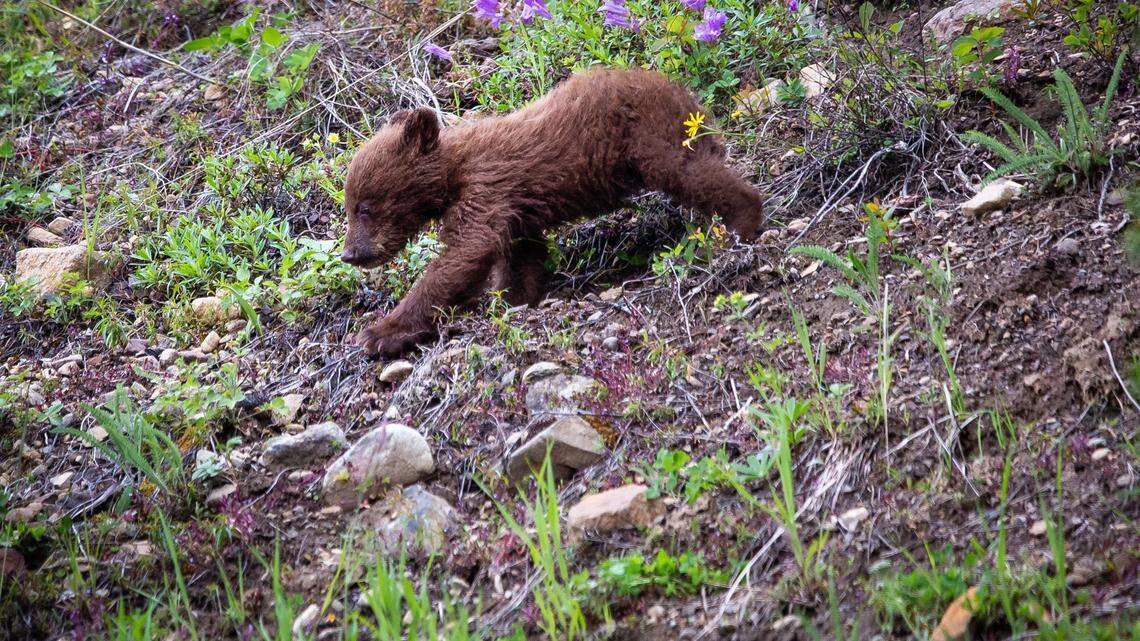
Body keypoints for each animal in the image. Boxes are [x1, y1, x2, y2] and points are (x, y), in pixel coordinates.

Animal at [341, 67, 765, 357]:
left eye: (365, 207)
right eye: (349, 205)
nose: (350, 254)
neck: (452, 173)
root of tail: (685, 93)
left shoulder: (486, 186)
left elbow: (465, 251)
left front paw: (380, 332)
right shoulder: (515, 209)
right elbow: (519, 254)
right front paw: (515, 298)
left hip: (651, 135)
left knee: (691, 173)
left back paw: (744, 224)